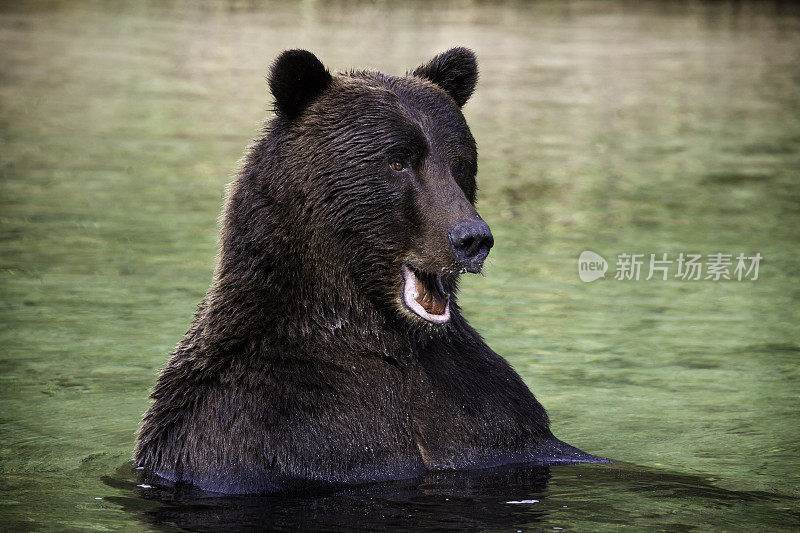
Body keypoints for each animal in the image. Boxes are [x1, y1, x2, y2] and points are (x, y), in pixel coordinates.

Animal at [133, 47, 600, 492]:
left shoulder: (487, 419)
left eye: (460, 162)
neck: (378, 333)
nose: (472, 238)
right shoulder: (256, 429)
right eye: (397, 161)